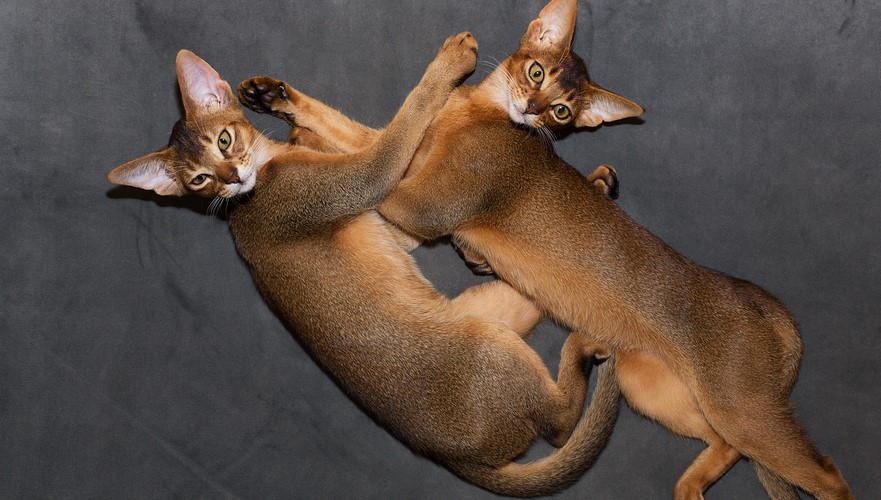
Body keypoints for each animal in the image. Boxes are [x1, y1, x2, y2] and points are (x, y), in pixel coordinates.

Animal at [107, 37, 623, 497]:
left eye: (224, 138)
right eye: (199, 179)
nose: (232, 177)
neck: (250, 197)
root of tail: (456, 458)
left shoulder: (387, 217)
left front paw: (284, 107)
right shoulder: (366, 180)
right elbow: (403, 123)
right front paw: (452, 59)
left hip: (499, 310)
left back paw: (593, 194)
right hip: (495, 352)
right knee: (559, 425)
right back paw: (587, 347)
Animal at [239, 0, 853, 498]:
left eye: (563, 111)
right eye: (537, 71)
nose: (533, 109)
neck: (480, 113)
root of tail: (758, 301)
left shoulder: (419, 202)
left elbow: (379, 137)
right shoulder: (411, 206)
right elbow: (355, 131)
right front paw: (275, 99)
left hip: (742, 408)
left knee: (827, 474)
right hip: (653, 386)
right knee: (724, 445)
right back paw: (687, 488)